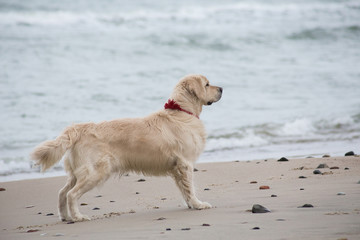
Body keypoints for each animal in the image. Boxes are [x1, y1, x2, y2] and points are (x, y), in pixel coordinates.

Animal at [31, 74, 222, 222]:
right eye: (207, 84)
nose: (221, 88)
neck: (181, 112)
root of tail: (78, 128)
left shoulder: (178, 168)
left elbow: (184, 189)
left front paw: (191, 205)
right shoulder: (185, 164)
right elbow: (190, 188)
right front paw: (198, 204)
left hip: (77, 172)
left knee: (62, 192)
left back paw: (65, 217)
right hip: (96, 172)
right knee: (71, 194)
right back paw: (78, 217)